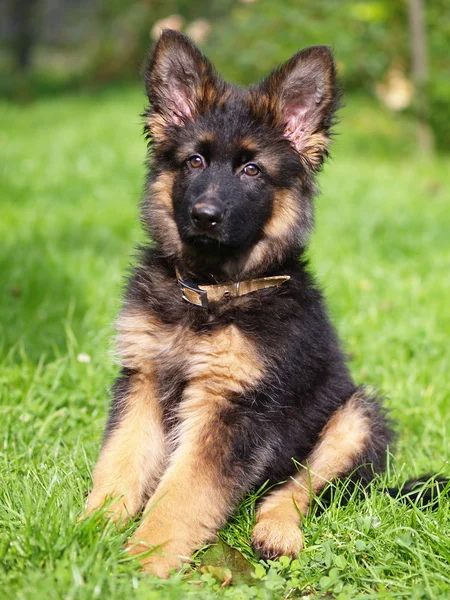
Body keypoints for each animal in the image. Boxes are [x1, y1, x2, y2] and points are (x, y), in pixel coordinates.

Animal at [85, 31, 394, 576]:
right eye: (194, 161)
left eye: (252, 170)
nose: (204, 215)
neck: (209, 293)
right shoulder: (143, 380)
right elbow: (119, 462)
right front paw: (86, 534)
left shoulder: (232, 408)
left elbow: (182, 493)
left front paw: (142, 563)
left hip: (357, 417)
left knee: (298, 487)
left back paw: (276, 533)